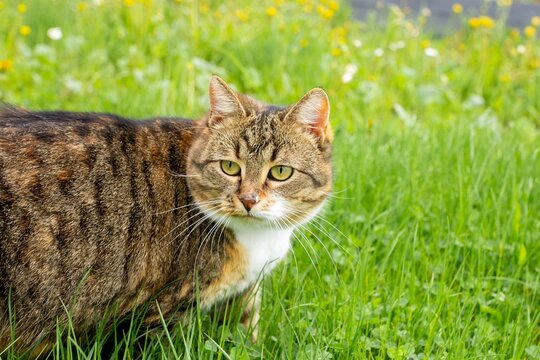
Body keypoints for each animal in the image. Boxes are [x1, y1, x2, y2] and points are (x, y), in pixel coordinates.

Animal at [0, 74, 334, 352]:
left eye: (280, 172)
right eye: (229, 167)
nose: (248, 200)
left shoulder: (244, 294)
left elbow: (245, 332)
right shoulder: (157, 313)